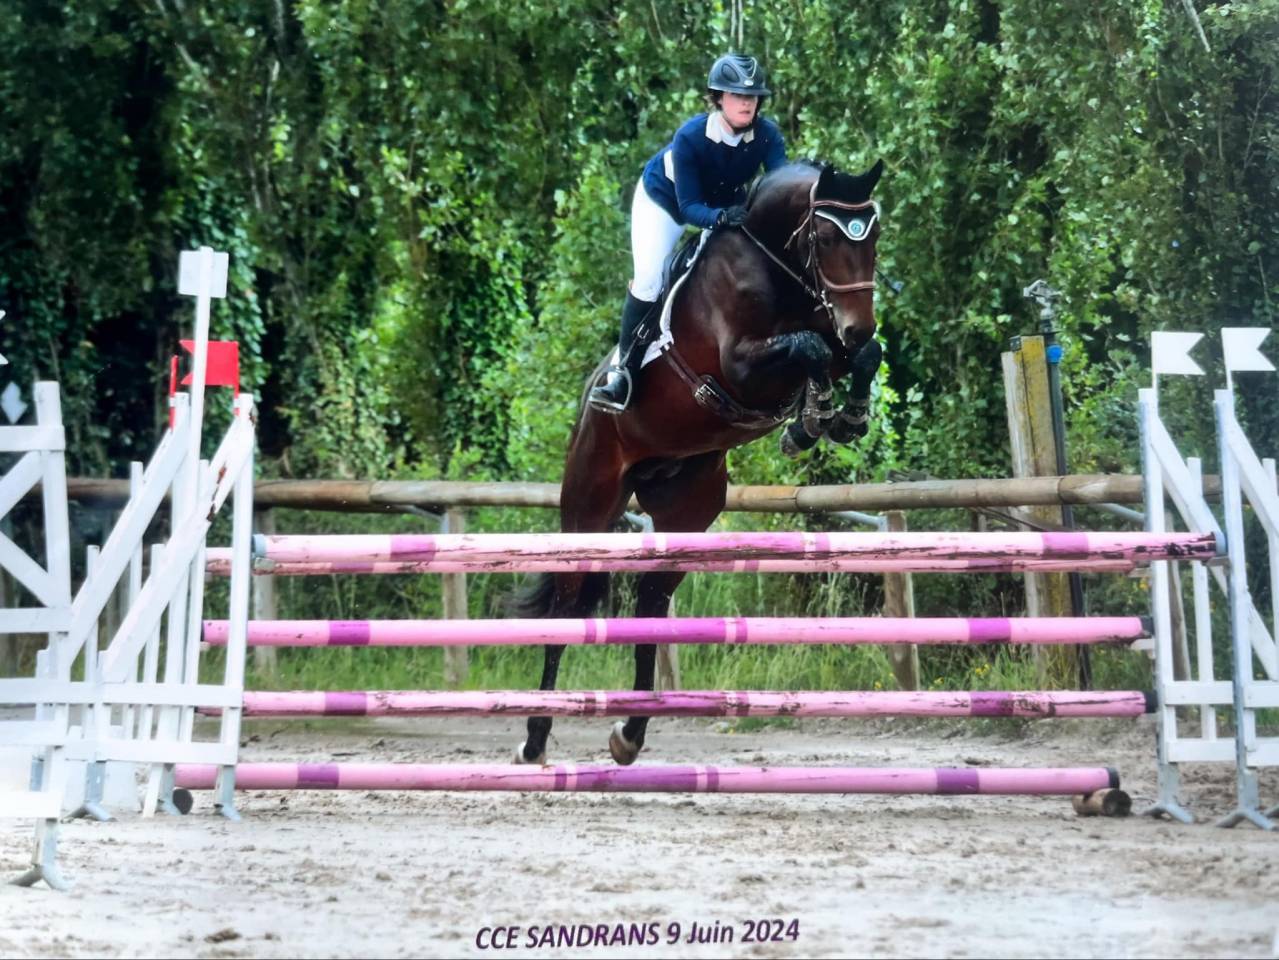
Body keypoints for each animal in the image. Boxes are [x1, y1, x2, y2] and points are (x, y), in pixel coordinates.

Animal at [513, 158, 885, 765]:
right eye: (827, 237)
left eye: (872, 237)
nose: (860, 324)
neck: (777, 264)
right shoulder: (740, 366)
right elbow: (809, 348)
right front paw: (814, 419)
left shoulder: (829, 337)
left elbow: (850, 355)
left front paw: (834, 417)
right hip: (589, 502)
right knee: (565, 612)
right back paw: (536, 738)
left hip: (686, 511)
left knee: (649, 605)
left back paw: (630, 735)